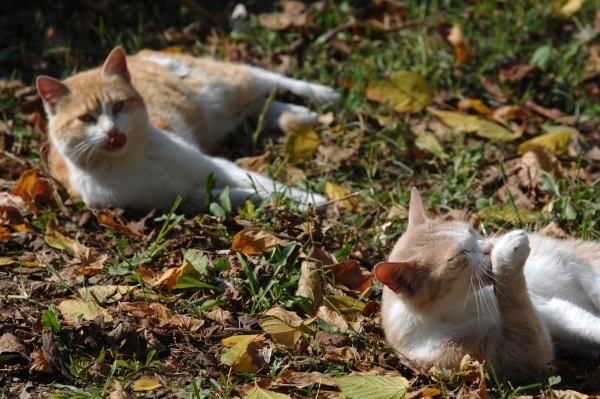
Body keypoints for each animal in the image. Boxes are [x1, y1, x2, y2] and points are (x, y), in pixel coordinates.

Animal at [37, 47, 338, 214]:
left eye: (118, 106)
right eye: (86, 119)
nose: (112, 131)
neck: (133, 159)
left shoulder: (215, 166)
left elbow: (266, 184)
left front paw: (310, 198)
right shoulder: (184, 197)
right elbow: (246, 194)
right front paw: (295, 203)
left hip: (226, 85)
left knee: (263, 77)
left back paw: (322, 95)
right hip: (227, 108)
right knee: (258, 103)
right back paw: (297, 114)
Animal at [376, 189, 600, 382]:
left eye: (471, 231)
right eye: (460, 255)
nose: (490, 247)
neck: (460, 306)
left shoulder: (548, 307)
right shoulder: (514, 355)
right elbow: (518, 312)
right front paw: (505, 256)